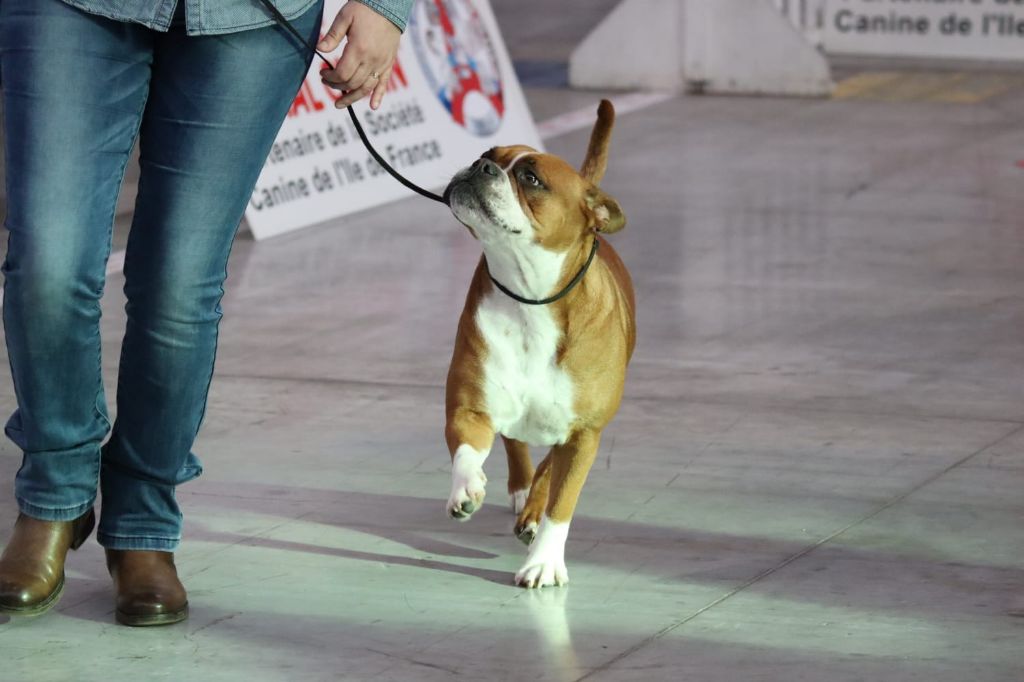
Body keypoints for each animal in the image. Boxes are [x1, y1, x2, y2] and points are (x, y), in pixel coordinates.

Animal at [444, 99, 634, 585]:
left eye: (531, 178)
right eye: (486, 154)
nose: (481, 165)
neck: (529, 295)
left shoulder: (583, 434)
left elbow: (561, 503)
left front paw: (544, 561)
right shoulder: (469, 406)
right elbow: (468, 449)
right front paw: (467, 487)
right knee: (515, 442)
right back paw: (518, 489)